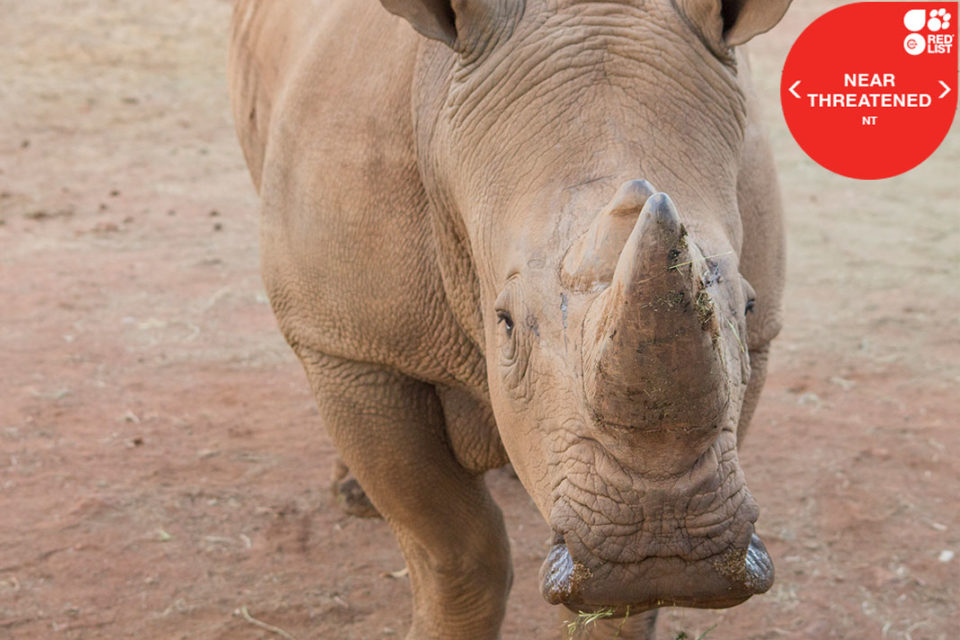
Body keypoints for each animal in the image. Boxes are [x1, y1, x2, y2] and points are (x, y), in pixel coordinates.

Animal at [229, 0, 790, 637]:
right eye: (505, 323)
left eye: (747, 305)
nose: (661, 551)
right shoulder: (352, 349)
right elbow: (456, 549)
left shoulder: (759, 341)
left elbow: (622, 610)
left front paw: (636, 591)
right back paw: (354, 496)